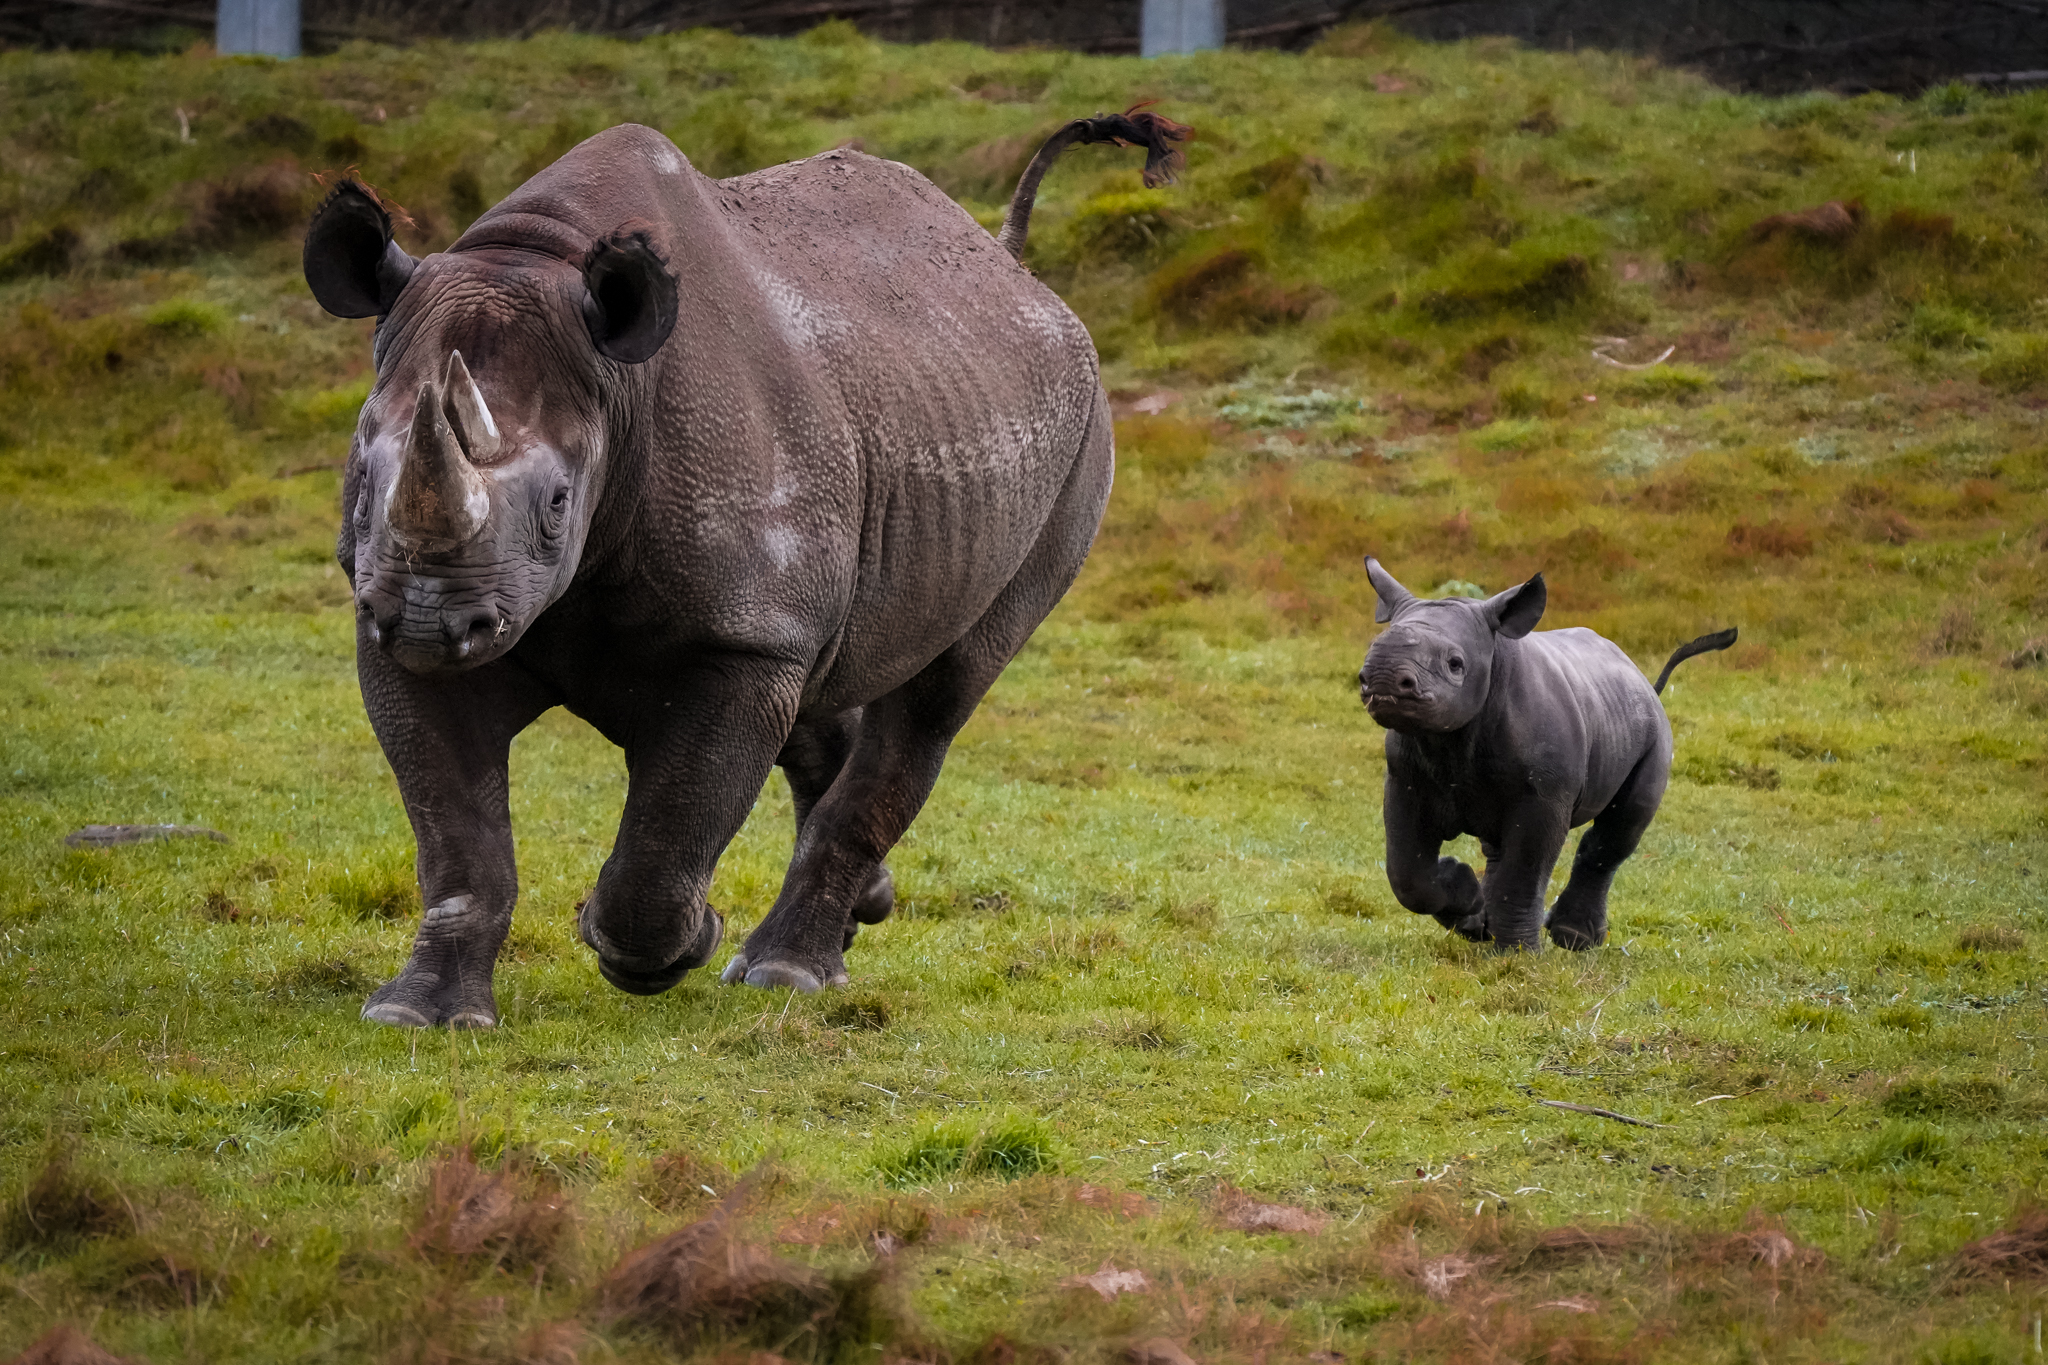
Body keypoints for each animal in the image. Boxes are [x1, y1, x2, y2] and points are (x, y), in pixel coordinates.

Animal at [311, 112, 1196, 1023]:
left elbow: (667, 839)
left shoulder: (741, 639)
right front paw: (417, 1012)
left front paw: (660, 946)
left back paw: (785, 971)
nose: (428, 620)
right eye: (361, 480)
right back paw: (861, 913)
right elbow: (458, 839)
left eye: (559, 501)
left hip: (1079, 441)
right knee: (826, 678)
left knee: (938, 696)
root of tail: (1011, 265)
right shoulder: (396, 618)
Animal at [1351, 556, 1736, 949]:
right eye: (1370, 649)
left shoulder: (1545, 795)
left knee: (1621, 828)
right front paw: (1467, 901)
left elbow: (1526, 869)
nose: (1382, 678)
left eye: (1455, 664)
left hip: (1654, 731)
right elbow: (1406, 872)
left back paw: (1572, 939)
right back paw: (1481, 928)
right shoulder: (1405, 781)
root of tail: (1641, 678)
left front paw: (1517, 953)